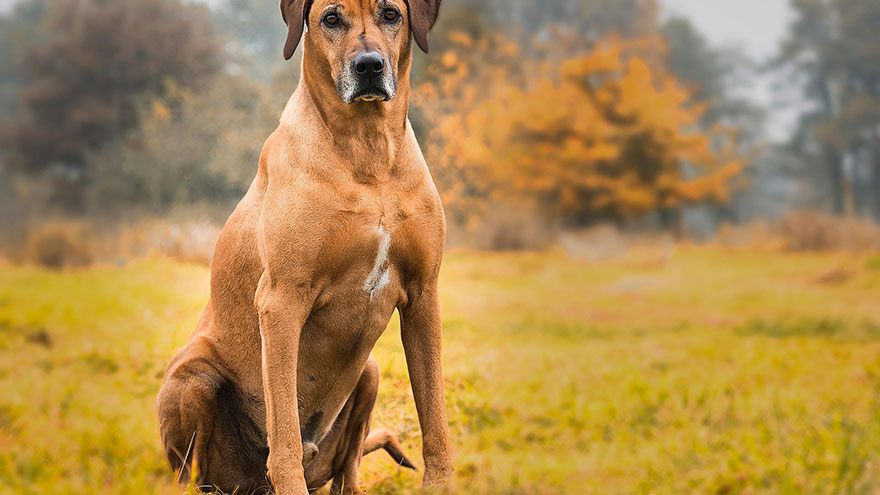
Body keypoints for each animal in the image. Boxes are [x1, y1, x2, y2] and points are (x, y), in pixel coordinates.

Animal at [153, 0, 454, 495]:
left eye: (391, 13)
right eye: (331, 18)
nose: (368, 66)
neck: (367, 149)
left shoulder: (423, 294)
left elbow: (434, 415)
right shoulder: (281, 300)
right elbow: (285, 434)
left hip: (369, 372)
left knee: (348, 468)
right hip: (191, 379)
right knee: (193, 471)